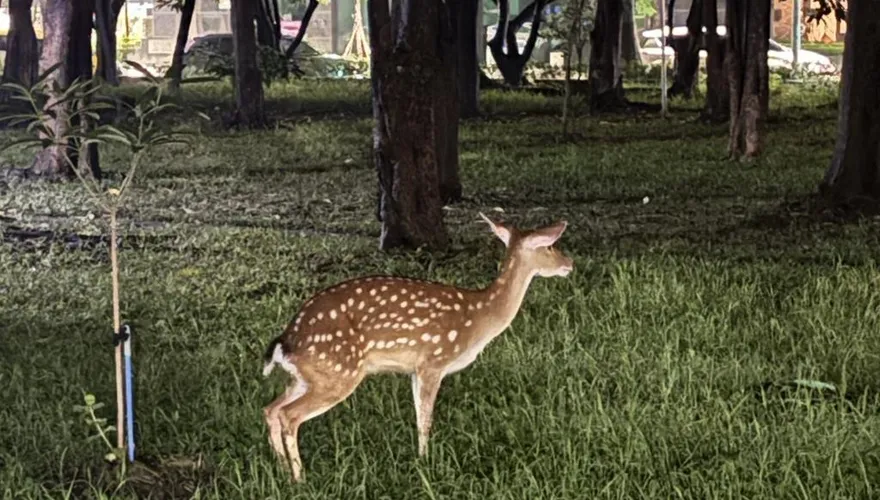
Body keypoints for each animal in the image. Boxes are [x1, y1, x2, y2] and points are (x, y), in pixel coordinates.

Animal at [261, 213, 574, 482]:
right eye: (549, 246)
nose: (569, 263)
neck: (479, 317)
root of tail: (286, 341)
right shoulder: (433, 361)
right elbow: (425, 418)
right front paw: (426, 461)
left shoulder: (414, 369)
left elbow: (417, 414)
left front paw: (420, 459)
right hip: (338, 372)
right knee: (289, 415)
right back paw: (300, 478)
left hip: (309, 375)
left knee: (271, 409)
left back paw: (282, 470)